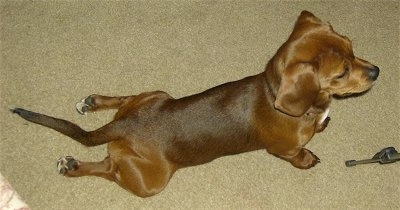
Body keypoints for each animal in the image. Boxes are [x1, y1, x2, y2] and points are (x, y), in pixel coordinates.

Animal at [12, 11, 380, 198]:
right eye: (341, 72)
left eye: (352, 46)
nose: (377, 71)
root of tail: (123, 126)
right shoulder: (284, 150)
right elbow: (298, 155)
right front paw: (307, 159)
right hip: (151, 181)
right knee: (107, 169)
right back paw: (73, 166)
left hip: (156, 95)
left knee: (122, 105)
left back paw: (92, 102)